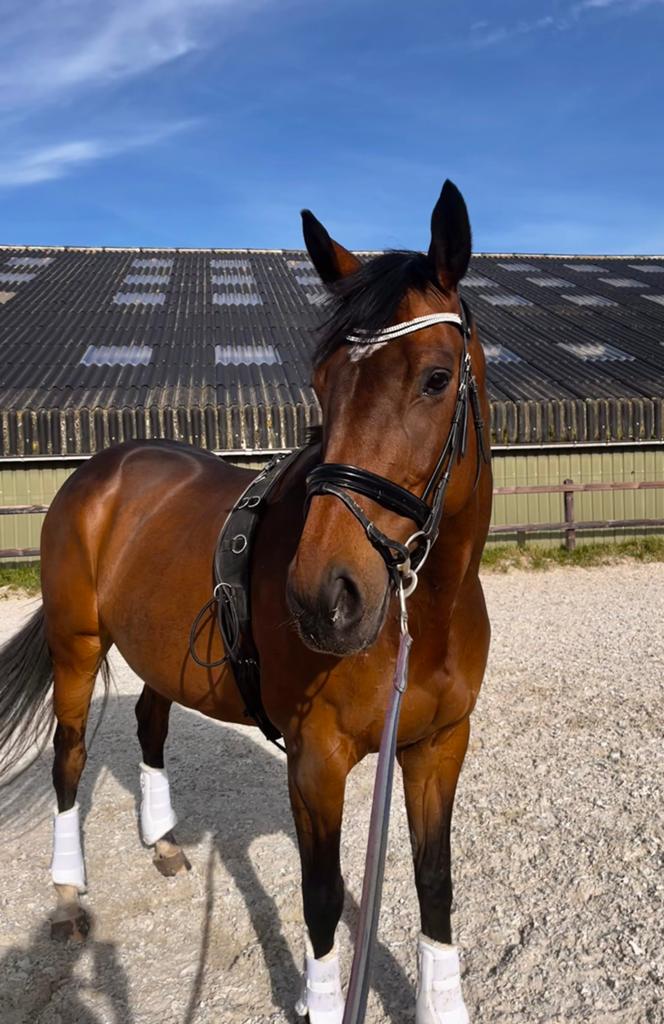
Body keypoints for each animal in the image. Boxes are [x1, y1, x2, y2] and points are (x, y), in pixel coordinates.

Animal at [0, 179, 492, 1024]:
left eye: (435, 377)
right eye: (323, 383)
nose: (324, 596)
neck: (420, 620)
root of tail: (99, 470)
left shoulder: (439, 745)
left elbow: (435, 882)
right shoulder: (316, 759)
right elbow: (322, 897)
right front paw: (320, 1002)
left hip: (158, 654)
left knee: (149, 723)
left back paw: (165, 842)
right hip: (77, 643)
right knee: (69, 757)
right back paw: (67, 894)